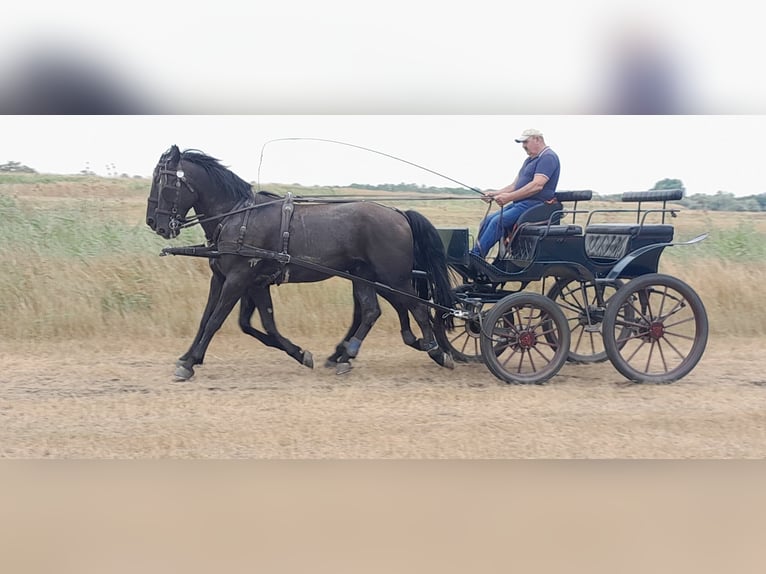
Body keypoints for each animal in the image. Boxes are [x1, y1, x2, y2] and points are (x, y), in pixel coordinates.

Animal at [146, 146, 452, 380]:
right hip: (365, 275)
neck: (238, 216)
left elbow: (216, 320)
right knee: (372, 311)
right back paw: (348, 354)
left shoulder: (238, 279)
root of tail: (398, 213)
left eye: (163, 182)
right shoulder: (238, 280)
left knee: (417, 308)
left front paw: (189, 363)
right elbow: (241, 322)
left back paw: (436, 349)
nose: (153, 223)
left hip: (393, 276)